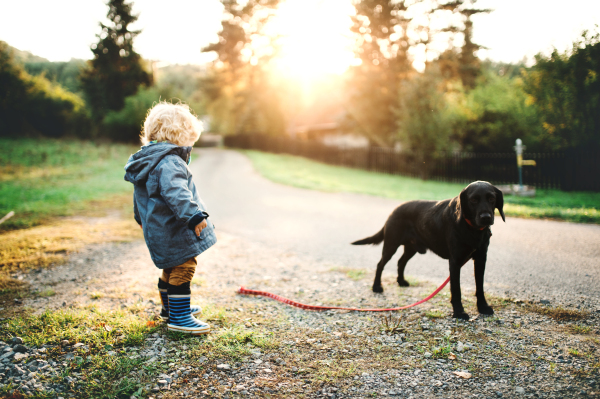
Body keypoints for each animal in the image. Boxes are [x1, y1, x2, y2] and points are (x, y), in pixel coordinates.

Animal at [354, 181, 504, 322]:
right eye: (473, 200)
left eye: (491, 198)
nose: (486, 217)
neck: (472, 228)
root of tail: (395, 210)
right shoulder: (455, 261)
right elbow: (456, 289)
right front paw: (459, 312)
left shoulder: (480, 258)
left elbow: (480, 287)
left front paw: (483, 307)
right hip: (391, 244)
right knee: (380, 264)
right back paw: (377, 287)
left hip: (411, 248)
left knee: (400, 262)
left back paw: (401, 281)